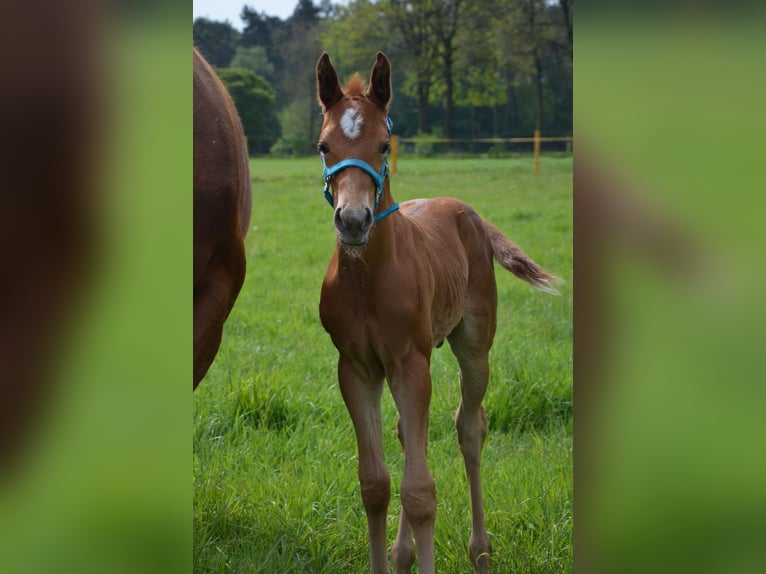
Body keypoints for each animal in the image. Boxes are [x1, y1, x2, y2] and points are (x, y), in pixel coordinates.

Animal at [316, 52, 559, 574]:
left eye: (383, 145)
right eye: (323, 146)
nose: (353, 220)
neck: (368, 279)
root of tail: (471, 213)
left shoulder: (411, 361)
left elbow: (420, 491)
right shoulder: (357, 367)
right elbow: (376, 483)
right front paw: (389, 555)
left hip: (474, 346)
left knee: (470, 427)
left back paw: (480, 550)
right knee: (411, 436)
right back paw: (402, 552)